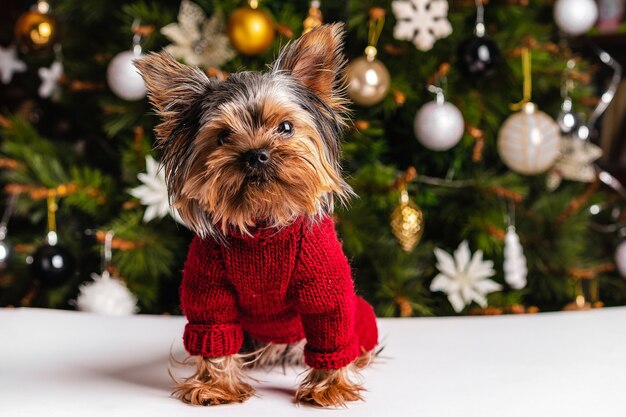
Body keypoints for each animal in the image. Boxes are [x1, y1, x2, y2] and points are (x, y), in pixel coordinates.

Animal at [135, 23, 376, 406]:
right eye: (222, 137)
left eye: (286, 127)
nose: (256, 154)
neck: (263, 220)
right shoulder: (209, 288)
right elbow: (214, 333)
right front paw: (215, 386)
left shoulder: (326, 287)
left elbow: (331, 328)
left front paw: (328, 387)